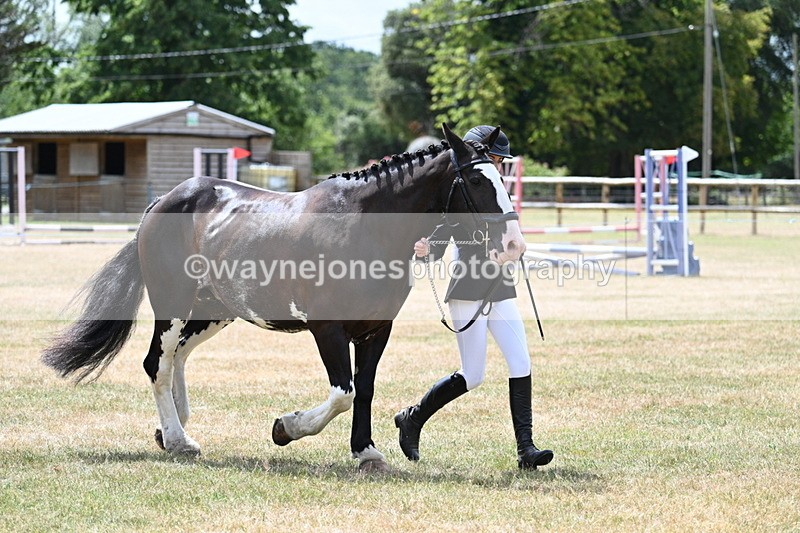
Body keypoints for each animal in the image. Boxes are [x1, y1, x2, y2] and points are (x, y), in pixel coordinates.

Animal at [40, 123, 526, 472]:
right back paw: (178, 440)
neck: (364, 224)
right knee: (156, 363)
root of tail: (163, 201)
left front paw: (365, 451)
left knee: (176, 357)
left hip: (216, 310)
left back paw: (170, 429)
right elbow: (343, 392)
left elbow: (364, 390)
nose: (514, 245)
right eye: (476, 180)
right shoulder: (327, 329)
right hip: (174, 304)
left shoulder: (376, 331)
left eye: (502, 178)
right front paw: (286, 428)